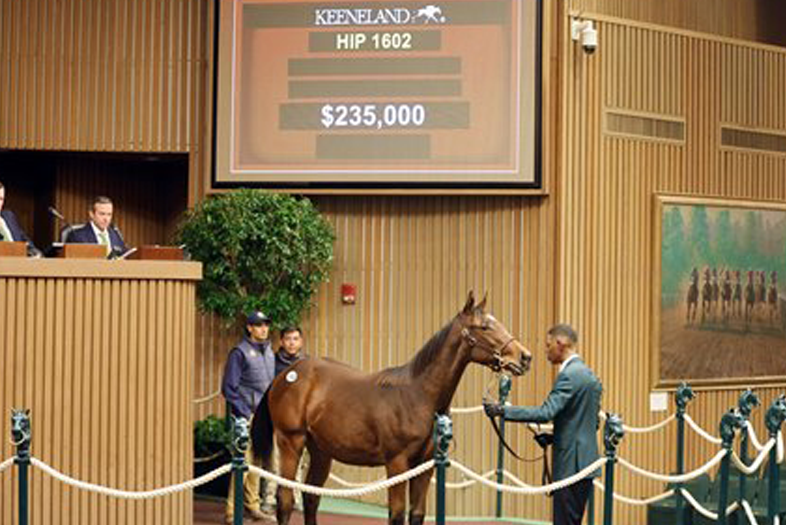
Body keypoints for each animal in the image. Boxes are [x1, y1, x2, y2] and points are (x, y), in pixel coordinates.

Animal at [250, 292, 532, 520]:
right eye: (484, 327)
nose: (525, 357)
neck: (418, 395)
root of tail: (286, 375)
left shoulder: (424, 465)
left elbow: (416, 514)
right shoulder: (397, 464)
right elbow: (396, 514)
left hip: (320, 451)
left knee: (311, 497)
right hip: (291, 442)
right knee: (286, 500)